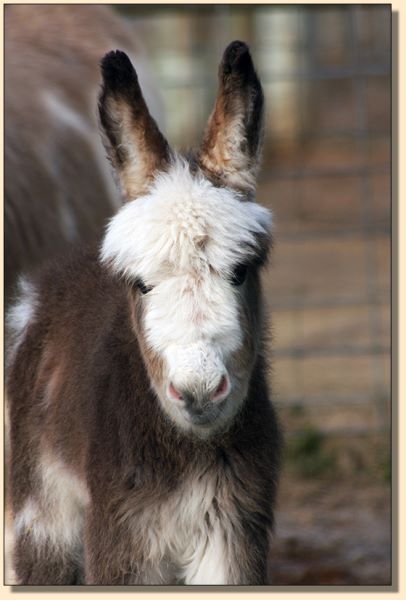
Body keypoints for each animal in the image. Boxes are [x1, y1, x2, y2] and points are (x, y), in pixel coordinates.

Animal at [7, 42, 284, 584]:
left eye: (240, 271)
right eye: (140, 284)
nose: (197, 391)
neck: (187, 451)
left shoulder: (231, 526)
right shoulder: (122, 534)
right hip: (42, 515)